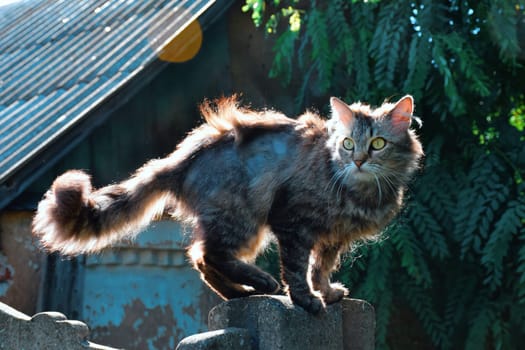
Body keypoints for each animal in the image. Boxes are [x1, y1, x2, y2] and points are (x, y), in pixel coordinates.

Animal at [32, 95, 424, 314]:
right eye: (346, 144)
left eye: (377, 144)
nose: (357, 160)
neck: (359, 191)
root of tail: (181, 159)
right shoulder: (293, 223)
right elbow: (298, 269)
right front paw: (307, 300)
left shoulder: (332, 239)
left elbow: (320, 268)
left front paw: (326, 292)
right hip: (244, 220)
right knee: (207, 254)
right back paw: (260, 283)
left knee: (201, 259)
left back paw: (239, 293)